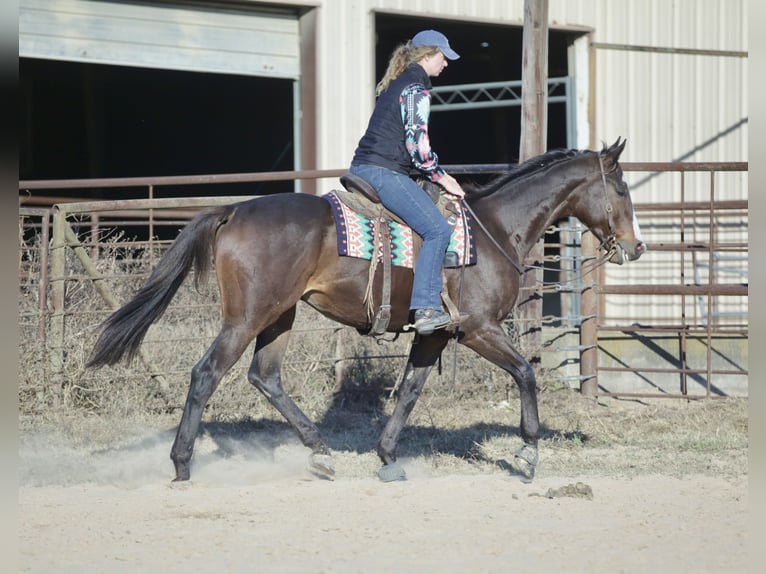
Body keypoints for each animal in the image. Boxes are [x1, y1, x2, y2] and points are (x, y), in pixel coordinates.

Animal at [87, 138, 645, 483]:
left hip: (279, 316)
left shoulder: (433, 334)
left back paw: (319, 452)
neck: (493, 230)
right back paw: (182, 464)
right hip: (246, 318)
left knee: (265, 377)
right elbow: (525, 374)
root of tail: (234, 210)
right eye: (620, 188)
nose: (635, 247)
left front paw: (388, 456)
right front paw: (528, 452)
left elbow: (410, 392)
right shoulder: (478, 329)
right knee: (206, 374)